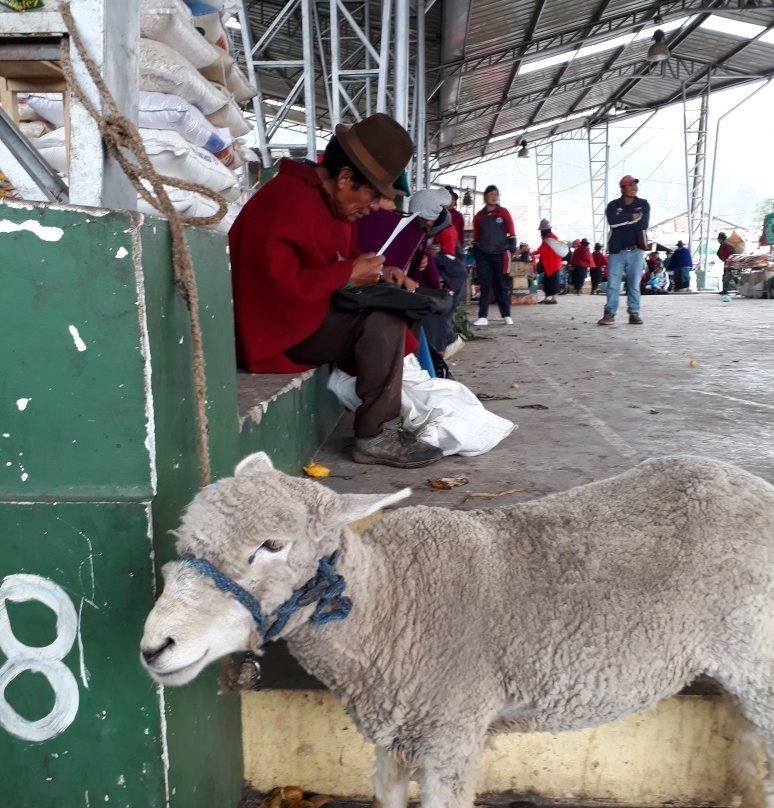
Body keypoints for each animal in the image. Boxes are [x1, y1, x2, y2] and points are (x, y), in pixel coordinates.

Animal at [142, 452, 774, 808]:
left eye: (273, 545)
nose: (155, 646)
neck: (393, 604)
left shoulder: (453, 732)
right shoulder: (396, 732)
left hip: (760, 663)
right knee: (751, 761)